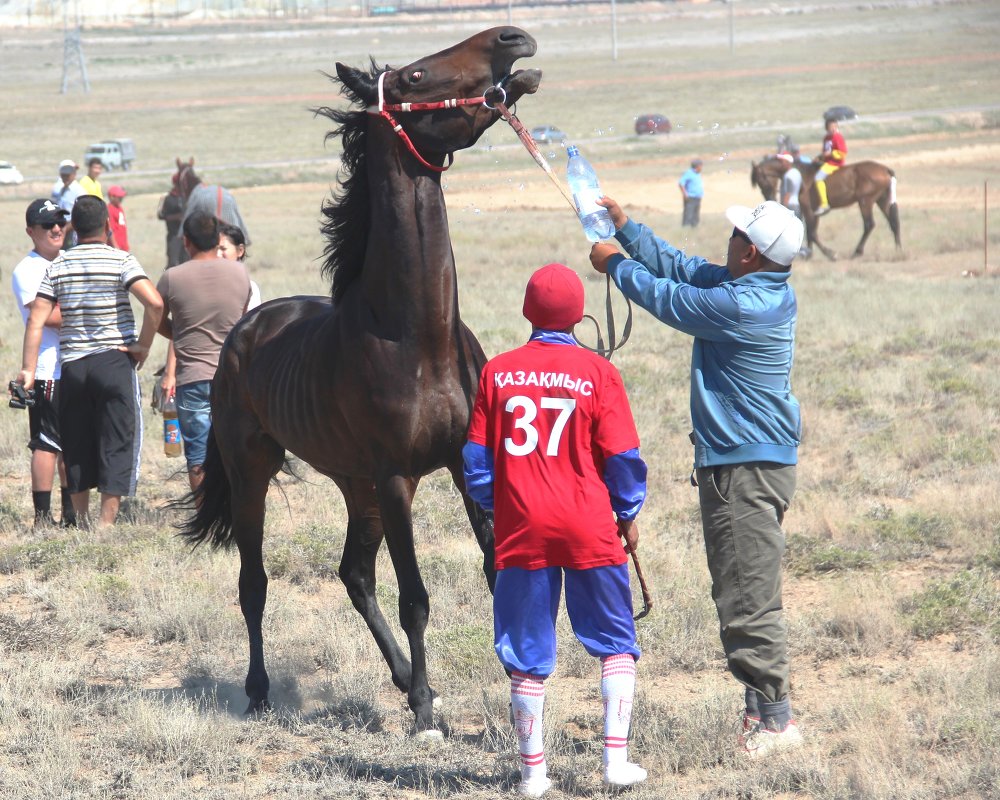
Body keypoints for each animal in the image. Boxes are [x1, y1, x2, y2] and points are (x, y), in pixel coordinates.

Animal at [176, 26, 544, 736]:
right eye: (414, 77)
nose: (513, 39)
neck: (416, 337)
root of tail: (246, 328)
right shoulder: (399, 477)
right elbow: (416, 596)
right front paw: (427, 712)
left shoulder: (465, 463)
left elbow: (495, 571)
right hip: (257, 470)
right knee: (255, 583)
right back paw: (261, 690)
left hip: (356, 485)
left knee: (353, 574)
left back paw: (400, 679)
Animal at [748, 154, 904, 260]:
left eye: (761, 179)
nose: (769, 197)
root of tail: (885, 169)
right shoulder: (813, 212)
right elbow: (809, 231)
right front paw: (808, 254)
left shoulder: (808, 209)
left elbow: (812, 232)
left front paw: (829, 253)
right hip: (881, 200)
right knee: (893, 222)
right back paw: (898, 250)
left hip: (865, 201)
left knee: (869, 224)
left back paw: (857, 252)